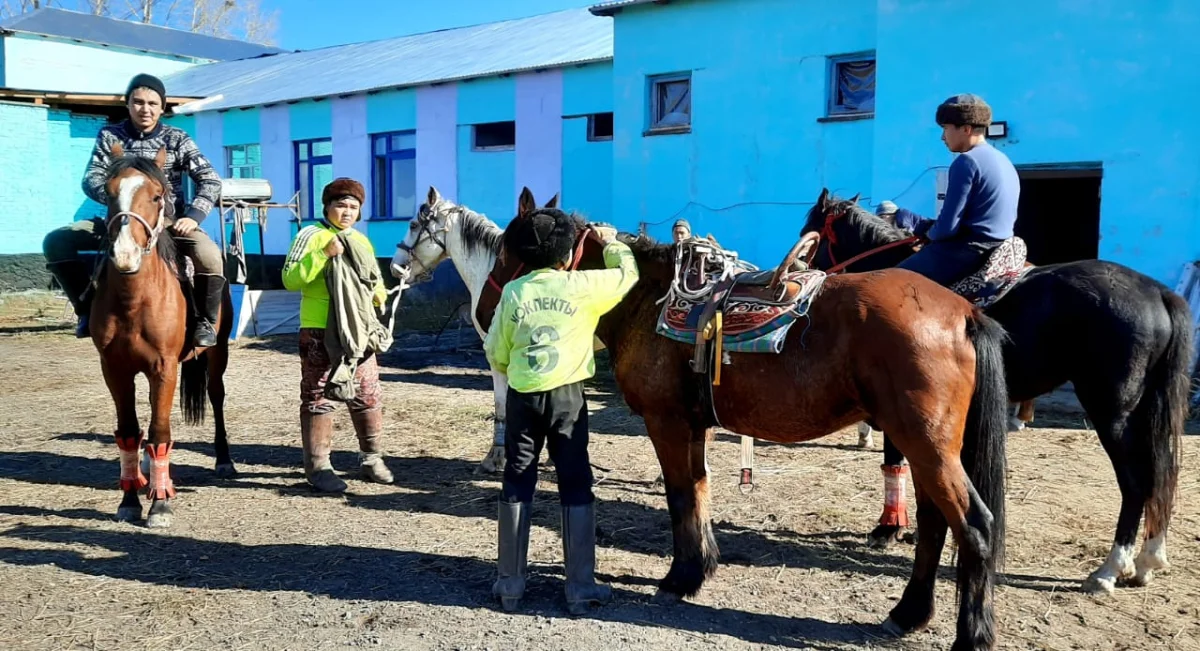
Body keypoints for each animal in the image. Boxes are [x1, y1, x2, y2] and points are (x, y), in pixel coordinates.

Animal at [92, 144, 235, 530]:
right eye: (108, 193)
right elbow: (128, 431)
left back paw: (224, 459)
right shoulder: (114, 370)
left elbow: (159, 432)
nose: (124, 254)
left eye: (157, 195)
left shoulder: (164, 368)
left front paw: (160, 506)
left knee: (216, 395)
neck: (134, 300)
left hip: (218, 353)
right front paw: (130, 501)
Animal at [499, 195, 1012, 651]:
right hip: (922, 448)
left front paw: (679, 579)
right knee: (933, 524)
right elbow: (698, 490)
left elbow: (679, 495)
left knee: (974, 525)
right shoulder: (695, 425)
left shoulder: (666, 423)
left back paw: (970, 635)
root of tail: (965, 312)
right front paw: (698, 570)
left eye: (506, 253)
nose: (493, 312)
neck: (649, 301)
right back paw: (907, 613)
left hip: (927, 448)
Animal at [801, 189, 1185, 598]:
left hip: (1110, 410)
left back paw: (1110, 567)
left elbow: (895, 461)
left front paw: (888, 529)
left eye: (810, 229)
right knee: (1162, 473)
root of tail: (1158, 292)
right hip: (1143, 412)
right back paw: (1149, 559)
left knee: (1135, 482)